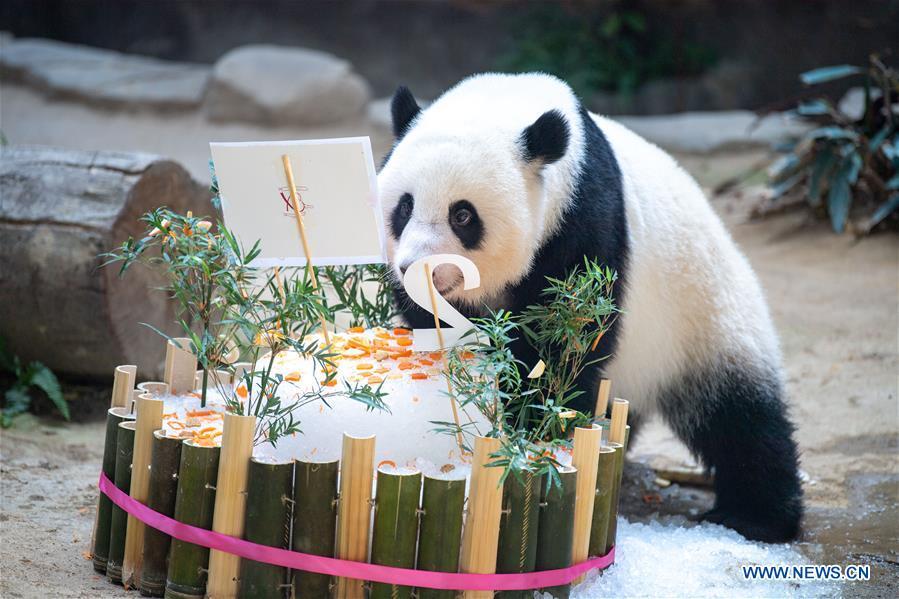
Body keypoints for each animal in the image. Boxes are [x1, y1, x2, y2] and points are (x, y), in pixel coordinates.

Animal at [376, 72, 804, 540]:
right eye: (404, 206)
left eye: (463, 216)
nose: (416, 271)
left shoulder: (585, 221)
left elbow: (566, 341)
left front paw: (530, 423)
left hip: (702, 316)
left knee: (740, 417)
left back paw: (756, 515)